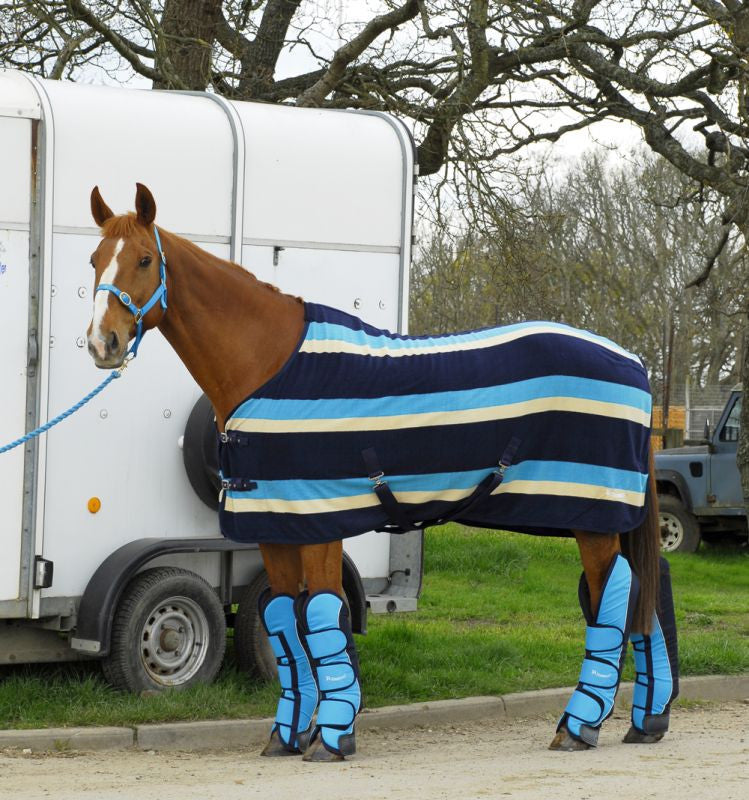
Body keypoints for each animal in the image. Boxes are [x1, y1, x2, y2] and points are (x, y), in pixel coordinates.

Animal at [85, 183, 679, 762]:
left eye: (143, 259)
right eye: (94, 259)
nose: (101, 343)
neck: (269, 363)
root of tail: (633, 360)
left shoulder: (319, 520)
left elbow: (322, 616)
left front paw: (332, 736)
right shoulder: (274, 524)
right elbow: (284, 621)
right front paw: (287, 735)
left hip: (593, 514)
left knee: (611, 596)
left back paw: (579, 725)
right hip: (604, 517)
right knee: (645, 589)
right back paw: (647, 722)